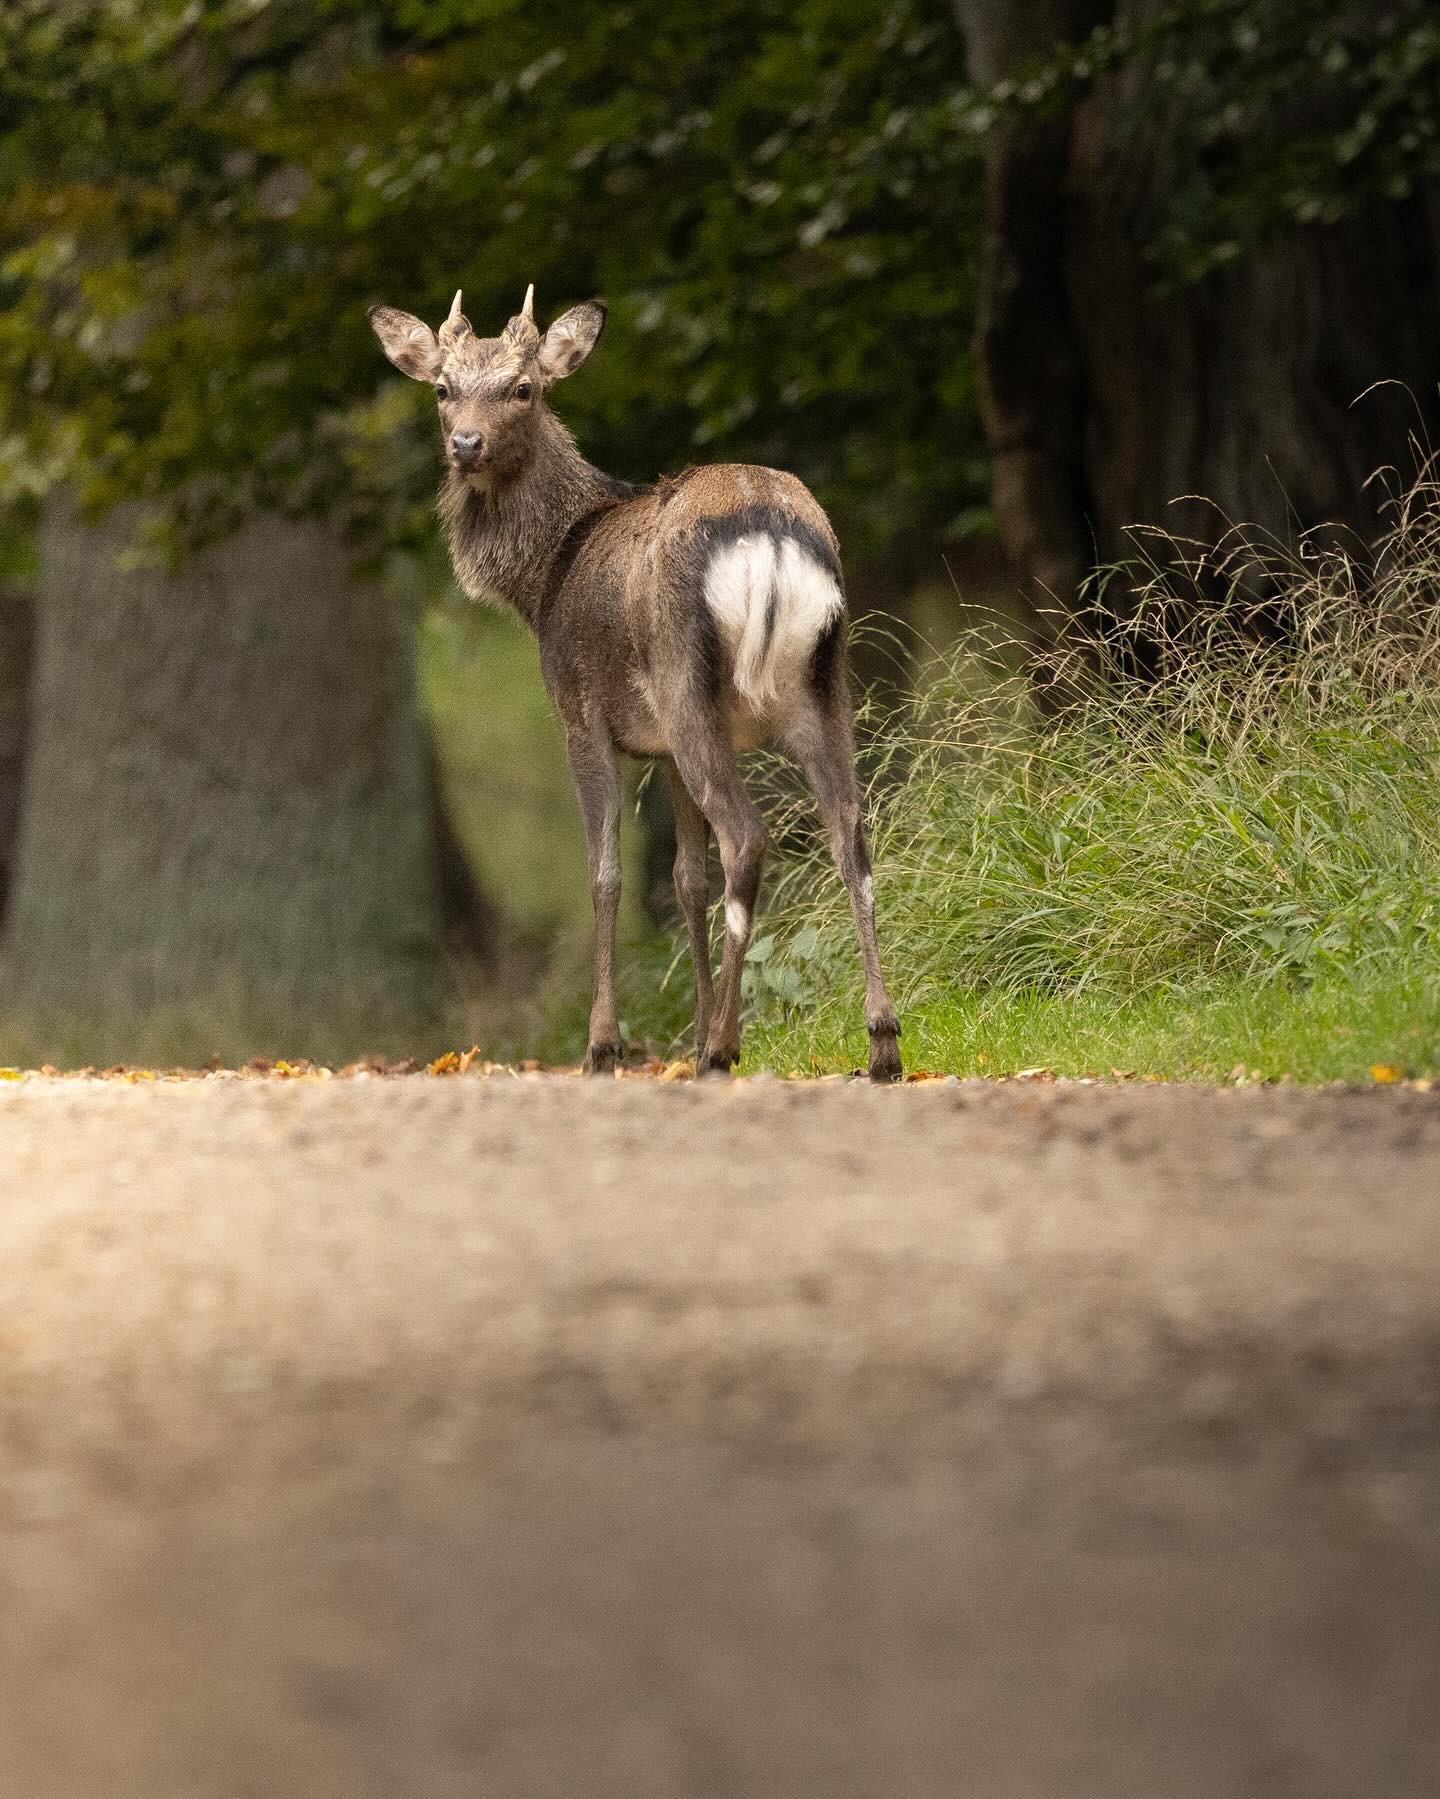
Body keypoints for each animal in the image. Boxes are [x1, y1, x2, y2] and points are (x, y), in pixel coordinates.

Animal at [368, 285, 902, 1081]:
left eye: (522, 388)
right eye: (442, 388)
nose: (465, 444)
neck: (543, 580)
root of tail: (771, 535)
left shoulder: (580, 710)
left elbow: (605, 873)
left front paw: (605, 1043)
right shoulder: (666, 754)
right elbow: (685, 879)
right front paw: (687, 1026)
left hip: (685, 680)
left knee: (748, 837)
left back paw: (722, 1048)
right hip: (822, 682)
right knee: (850, 835)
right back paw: (880, 1042)